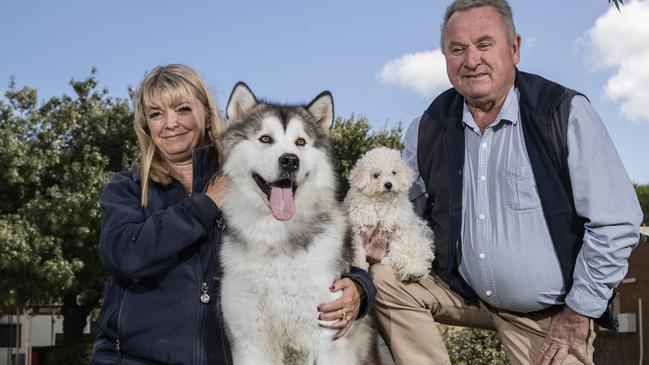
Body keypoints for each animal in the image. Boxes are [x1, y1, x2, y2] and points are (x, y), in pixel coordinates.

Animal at [218, 83, 370, 364]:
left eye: (301, 142)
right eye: (265, 139)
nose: (290, 160)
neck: (276, 234)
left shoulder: (327, 340)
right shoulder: (249, 340)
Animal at [342, 146, 432, 280]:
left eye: (394, 172)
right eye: (376, 175)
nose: (388, 184)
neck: (382, 202)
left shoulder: (399, 226)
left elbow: (398, 246)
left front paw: (395, 261)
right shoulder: (357, 229)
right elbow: (358, 250)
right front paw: (360, 266)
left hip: (415, 238)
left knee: (416, 255)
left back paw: (414, 271)